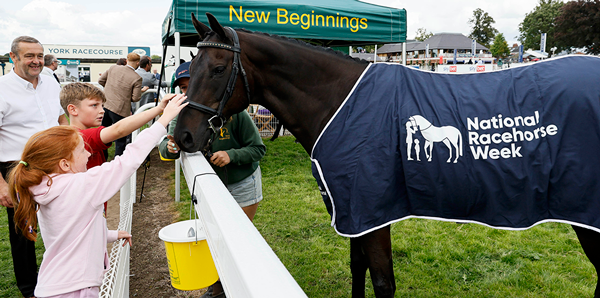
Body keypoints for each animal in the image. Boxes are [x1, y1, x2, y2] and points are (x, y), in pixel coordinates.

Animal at [172, 12, 600, 298]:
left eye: (218, 68)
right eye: (191, 64)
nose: (183, 135)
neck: (343, 104)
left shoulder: (372, 211)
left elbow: (381, 280)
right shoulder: (352, 212)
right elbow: (356, 267)